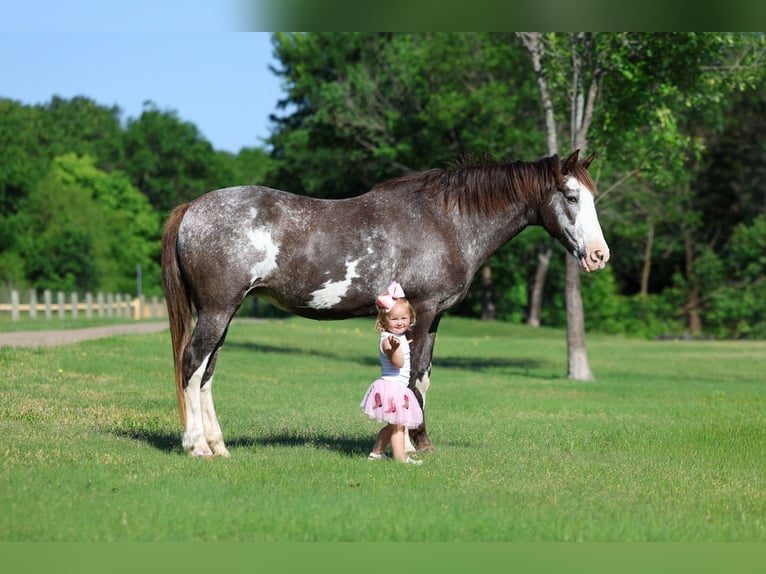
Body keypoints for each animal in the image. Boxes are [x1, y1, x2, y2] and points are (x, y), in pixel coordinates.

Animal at [161, 149, 610, 457]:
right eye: (571, 197)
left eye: (593, 197)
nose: (599, 255)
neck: (445, 222)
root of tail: (192, 208)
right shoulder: (422, 312)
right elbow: (410, 381)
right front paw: (408, 444)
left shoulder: (433, 318)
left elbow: (423, 378)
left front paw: (421, 441)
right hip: (218, 311)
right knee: (192, 364)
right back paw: (196, 445)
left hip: (224, 312)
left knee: (206, 372)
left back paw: (218, 446)